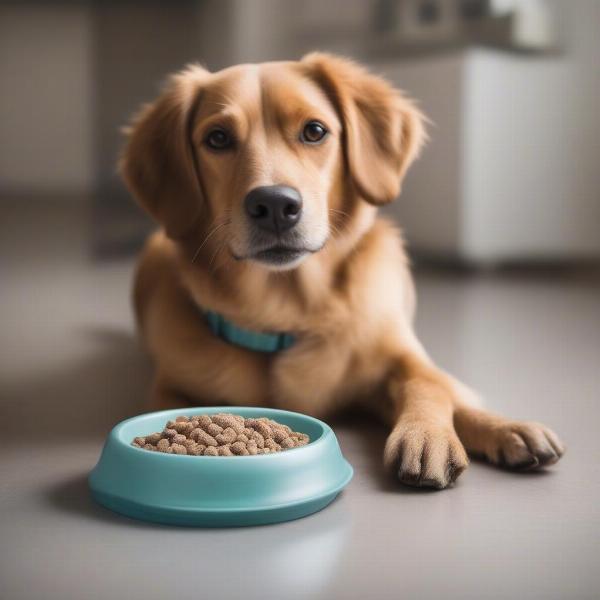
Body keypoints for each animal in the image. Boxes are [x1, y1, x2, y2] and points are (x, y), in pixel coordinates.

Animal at [120, 54, 564, 490]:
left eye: (314, 131)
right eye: (217, 138)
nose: (275, 204)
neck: (287, 309)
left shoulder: (397, 357)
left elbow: (432, 382)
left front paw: (444, 433)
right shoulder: (170, 389)